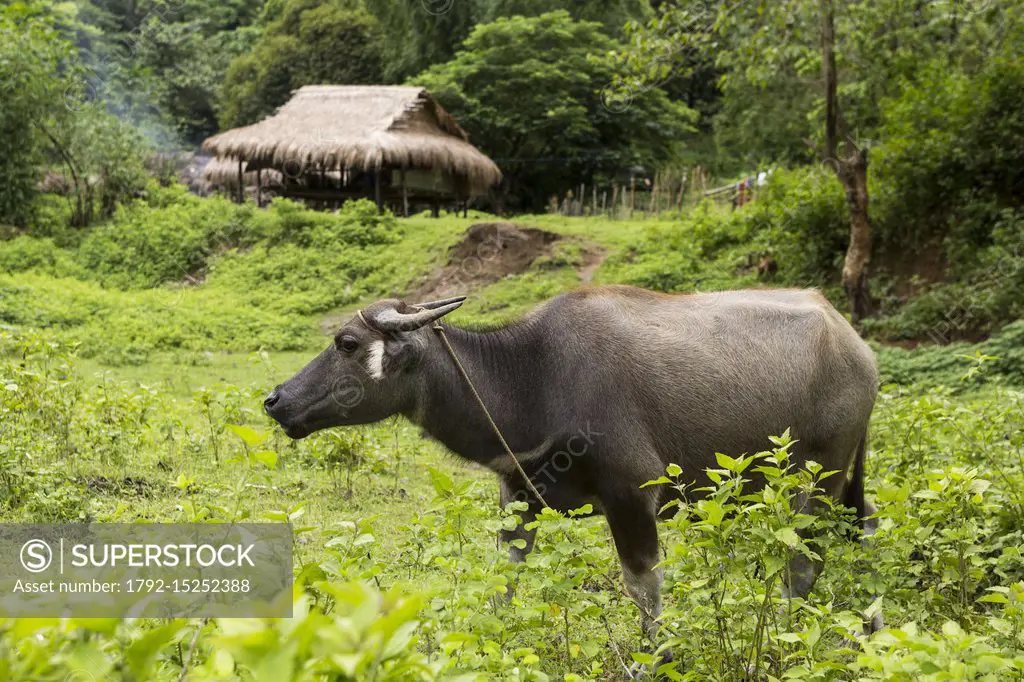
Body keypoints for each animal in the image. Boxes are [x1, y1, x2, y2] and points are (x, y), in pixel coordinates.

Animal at [260, 284, 876, 638]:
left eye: (345, 343)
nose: (276, 400)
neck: (534, 378)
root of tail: (854, 344)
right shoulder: (518, 497)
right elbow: (504, 580)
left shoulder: (631, 496)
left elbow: (645, 591)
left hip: (817, 483)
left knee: (803, 565)